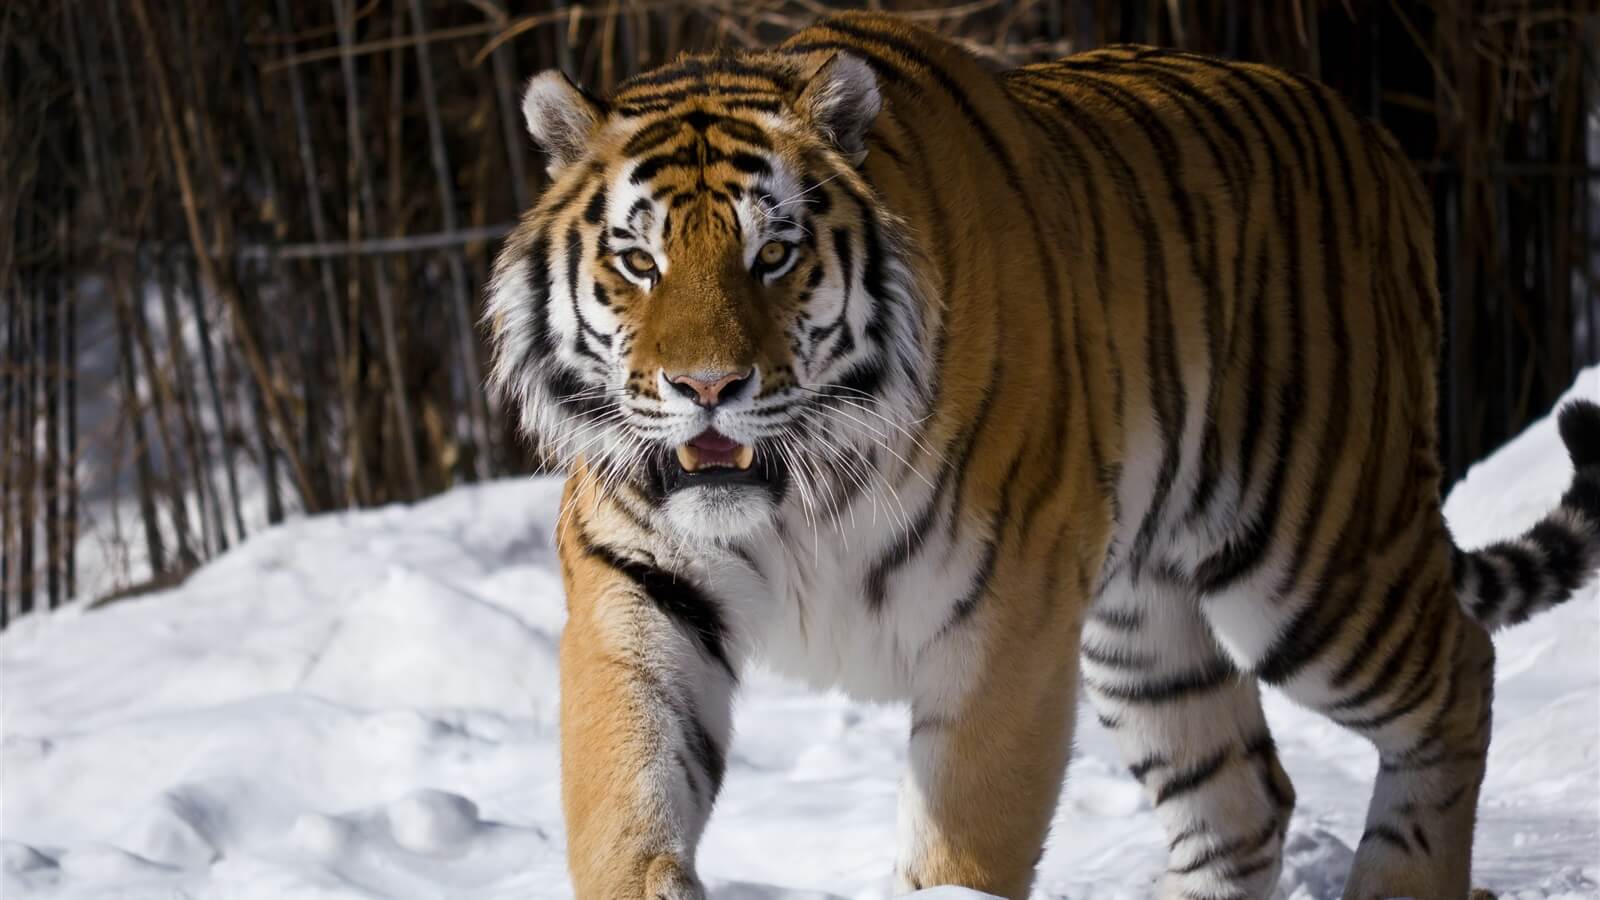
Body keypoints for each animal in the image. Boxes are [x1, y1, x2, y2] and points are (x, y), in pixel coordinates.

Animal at [483, 8, 1600, 896]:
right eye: (638, 260)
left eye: (775, 253)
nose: (707, 389)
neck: (800, 491)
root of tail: (1382, 145)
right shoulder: (638, 585)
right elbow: (627, 798)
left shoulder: (1004, 615)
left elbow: (965, 839)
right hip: (1144, 627)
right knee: (1242, 798)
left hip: (1312, 558)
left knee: (1460, 673)